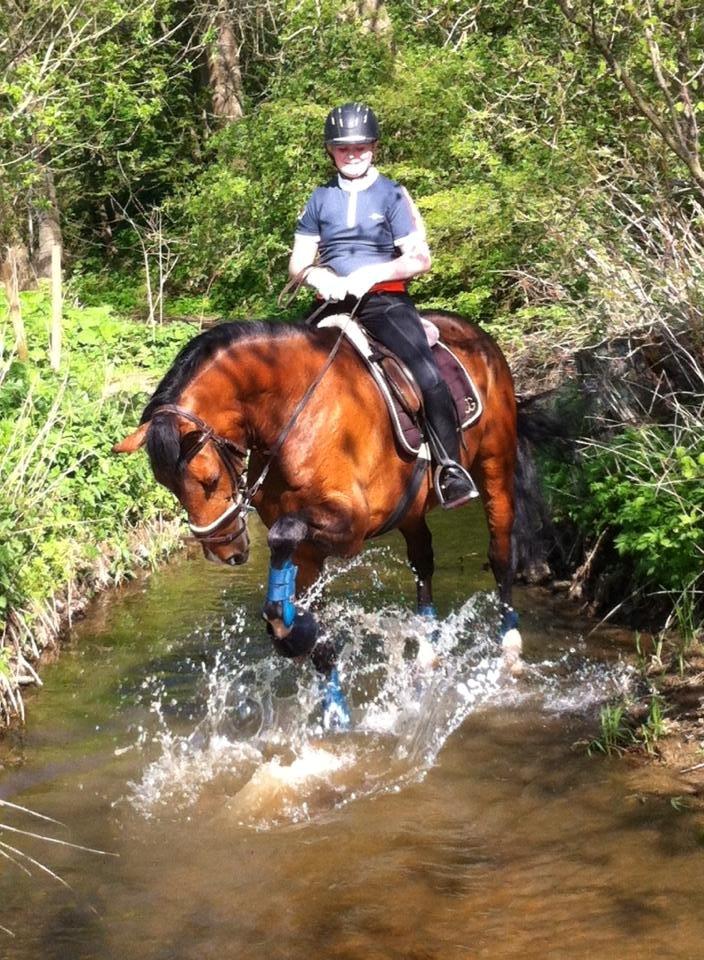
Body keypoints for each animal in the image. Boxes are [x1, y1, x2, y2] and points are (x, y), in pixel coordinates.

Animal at [115, 314, 532, 728]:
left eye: (210, 480)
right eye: (166, 486)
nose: (224, 552)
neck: (292, 415)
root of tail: (474, 333)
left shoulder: (351, 527)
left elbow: (282, 535)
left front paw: (289, 631)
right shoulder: (308, 553)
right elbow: (312, 629)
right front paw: (332, 708)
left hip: (495, 464)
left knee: (500, 552)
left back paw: (510, 648)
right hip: (412, 512)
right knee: (423, 563)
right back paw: (427, 648)